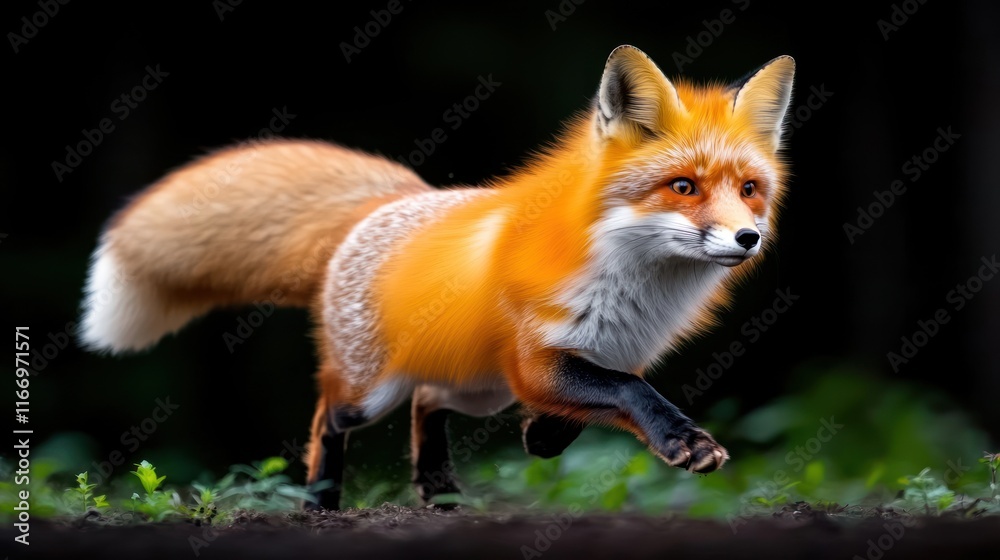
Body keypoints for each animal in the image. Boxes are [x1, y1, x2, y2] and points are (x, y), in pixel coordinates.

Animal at [79, 45, 795, 510]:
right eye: (684, 187)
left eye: (749, 190)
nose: (749, 239)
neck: (636, 290)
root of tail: (389, 203)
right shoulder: (536, 361)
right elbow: (631, 392)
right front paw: (682, 440)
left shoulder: (583, 360)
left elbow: (600, 402)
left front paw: (542, 437)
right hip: (373, 391)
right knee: (329, 416)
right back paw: (320, 503)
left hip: (479, 390)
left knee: (428, 401)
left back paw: (439, 489)